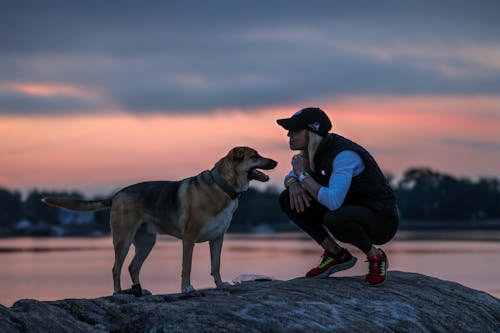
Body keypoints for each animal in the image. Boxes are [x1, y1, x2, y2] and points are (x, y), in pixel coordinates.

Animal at [42, 147, 278, 294]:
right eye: (255, 155)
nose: (275, 161)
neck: (223, 187)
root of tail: (116, 195)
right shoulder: (189, 239)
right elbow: (186, 266)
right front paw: (186, 289)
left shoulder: (218, 238)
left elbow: (216, 265)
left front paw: (220, 285)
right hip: (123, 239)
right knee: (116, 268)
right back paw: (118, 294)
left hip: (147, 242)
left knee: (133, 267)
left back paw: (139, 291)